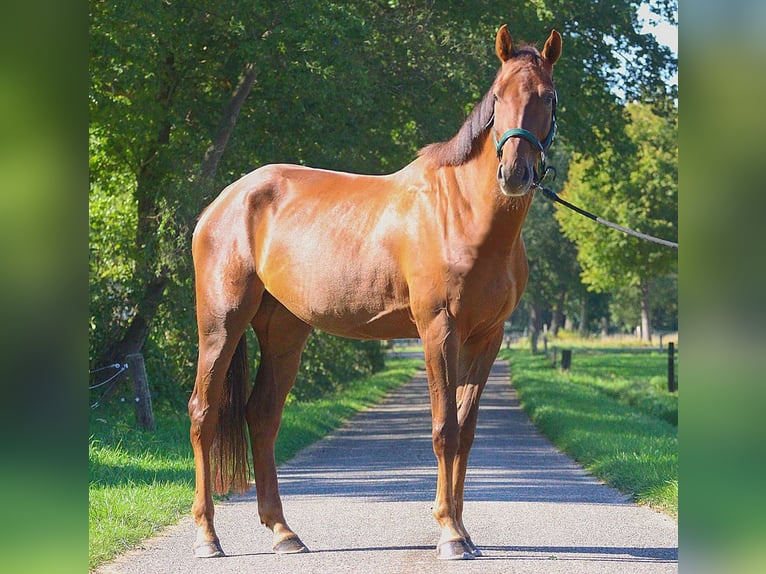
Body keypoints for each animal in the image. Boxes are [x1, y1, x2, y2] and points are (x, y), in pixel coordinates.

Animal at [192, 25, 564, 564]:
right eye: (499, 96)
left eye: (547, 97)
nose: (514, 173)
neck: (465, 215)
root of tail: (221, 203)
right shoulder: (438, 330)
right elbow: (444, 429)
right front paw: (449, 534)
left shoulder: (487, 338)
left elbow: (467, 430)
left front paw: (464, 531)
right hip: (221, 325)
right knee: (202, 414)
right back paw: (207, 536)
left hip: (284, 331)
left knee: (261, 417)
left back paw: (284, 533)